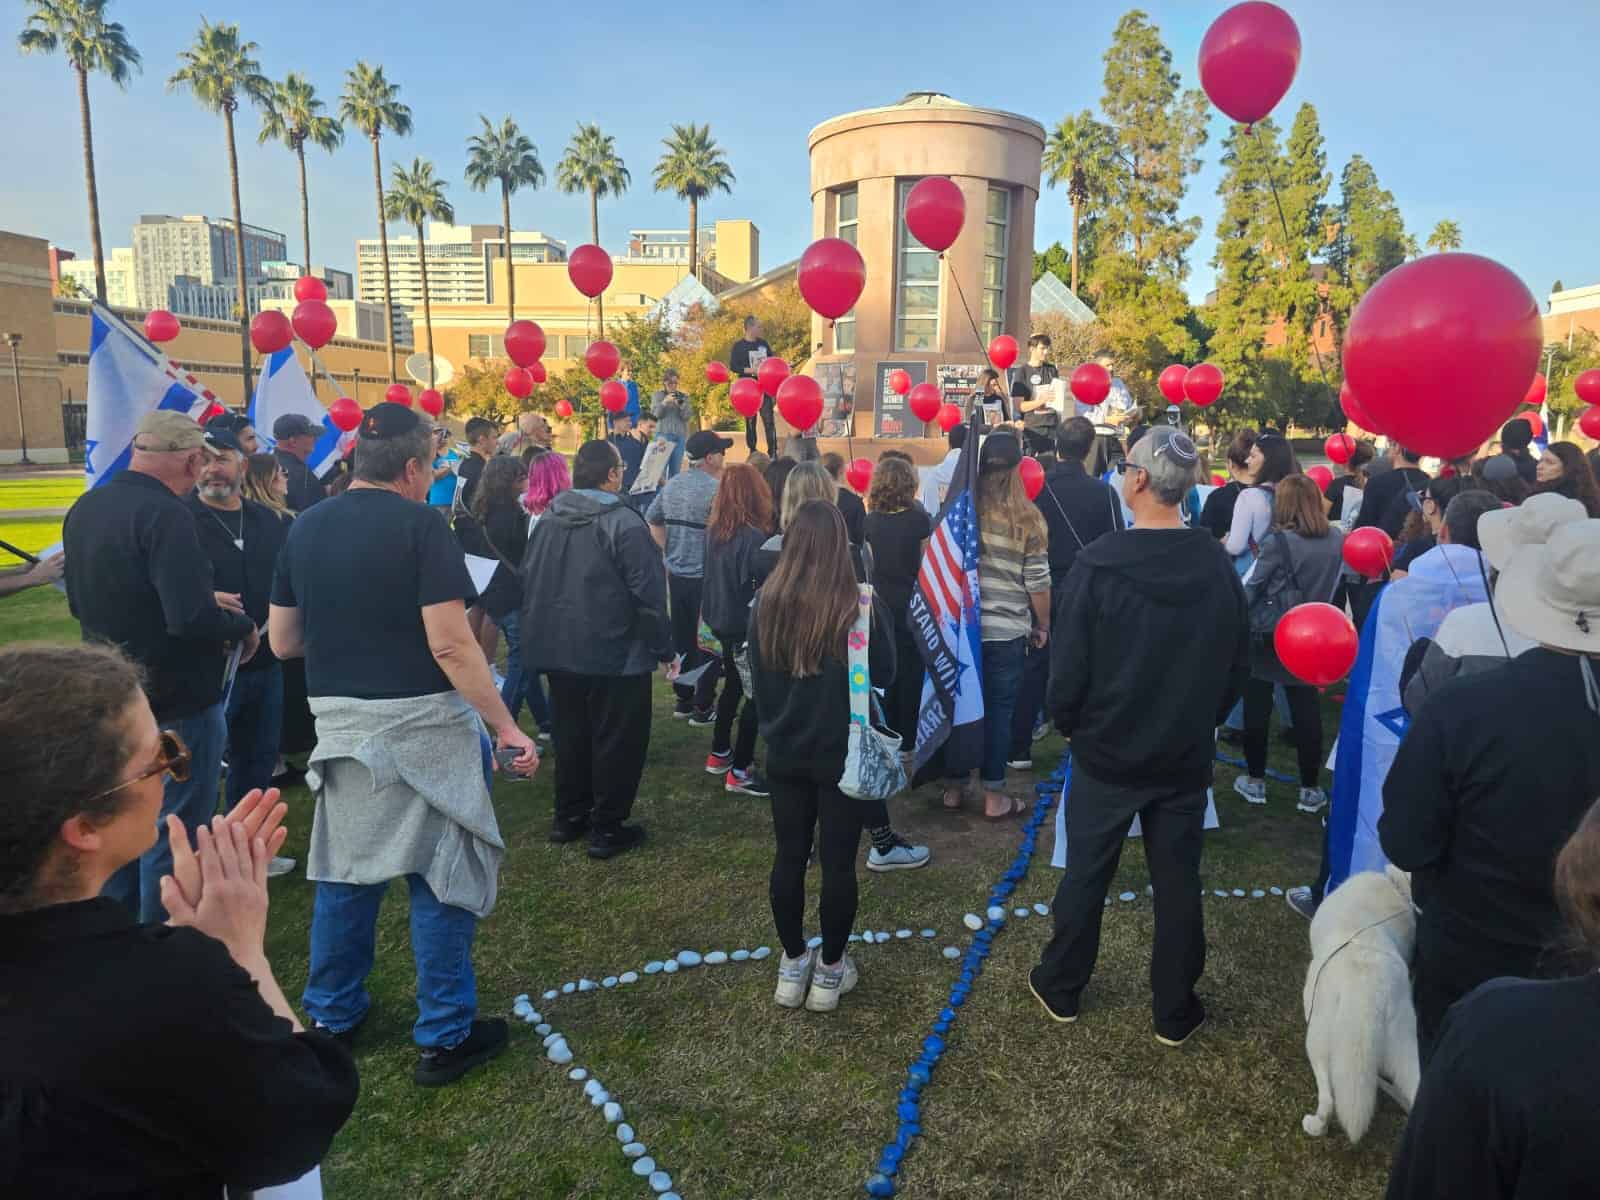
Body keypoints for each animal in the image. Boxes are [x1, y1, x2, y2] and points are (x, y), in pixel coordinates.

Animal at [1305, 864, 1420, 1145]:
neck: (1394, 885)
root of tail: (1370, 990)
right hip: (1405, 1045)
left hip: (1317, 1037)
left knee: (1328, 1098)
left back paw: (1316, 1124)